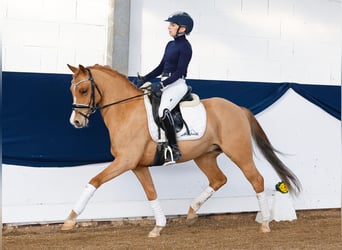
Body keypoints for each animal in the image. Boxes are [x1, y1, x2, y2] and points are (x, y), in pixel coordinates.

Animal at [62, 64, 302, 236]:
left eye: (83, 89)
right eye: (72, 90)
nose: (76, 122)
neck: (126, 111)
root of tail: (238, 108)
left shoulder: (126, 161)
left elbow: (94, 181)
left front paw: (70, 220)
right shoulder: (138, 165)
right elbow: (151, 193)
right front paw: (158, 226)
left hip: (238, 152)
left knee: (256, 179)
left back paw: (265, 224)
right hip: (205, 156)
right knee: (218, 179)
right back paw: (192, 210)